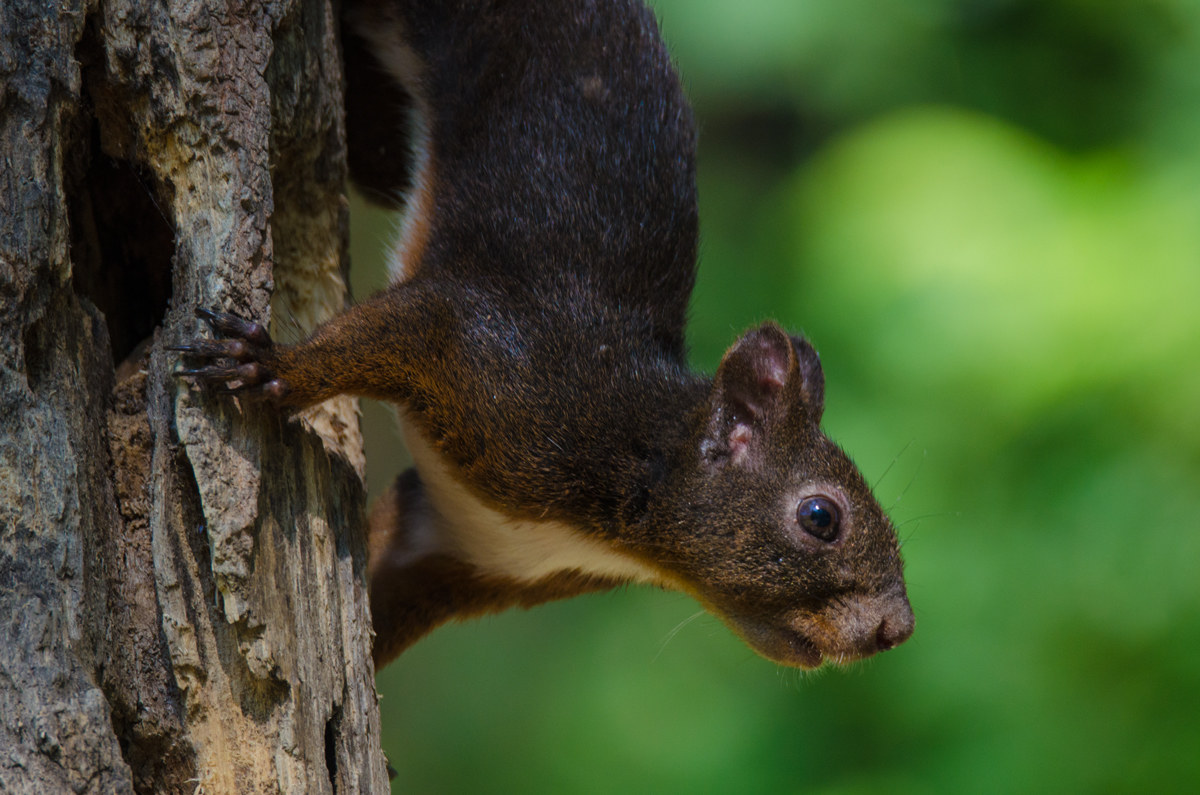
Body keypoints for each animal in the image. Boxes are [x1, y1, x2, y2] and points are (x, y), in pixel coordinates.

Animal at [176, 0, 914, 671]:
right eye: (820, 517)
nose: (898, 627)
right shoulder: (494, 355)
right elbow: (403, 326)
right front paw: (269, 365)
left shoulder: (461, 548)